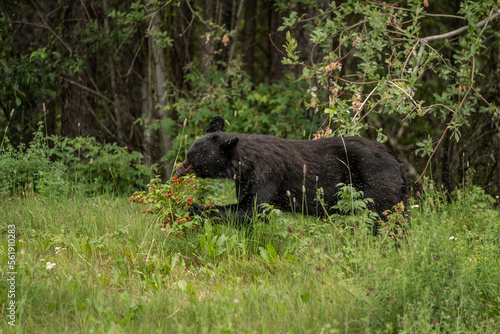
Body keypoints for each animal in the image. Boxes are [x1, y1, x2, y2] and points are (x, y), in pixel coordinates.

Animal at [174, 116, 408, 234]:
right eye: (188, 155)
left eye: (192, 159)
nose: (178, 170)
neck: (243, 162)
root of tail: (397, 164)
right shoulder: (245, 179)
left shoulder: (265, 173)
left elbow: (252, 210)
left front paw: (190, 208)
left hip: (375, 184)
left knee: (382, 220)